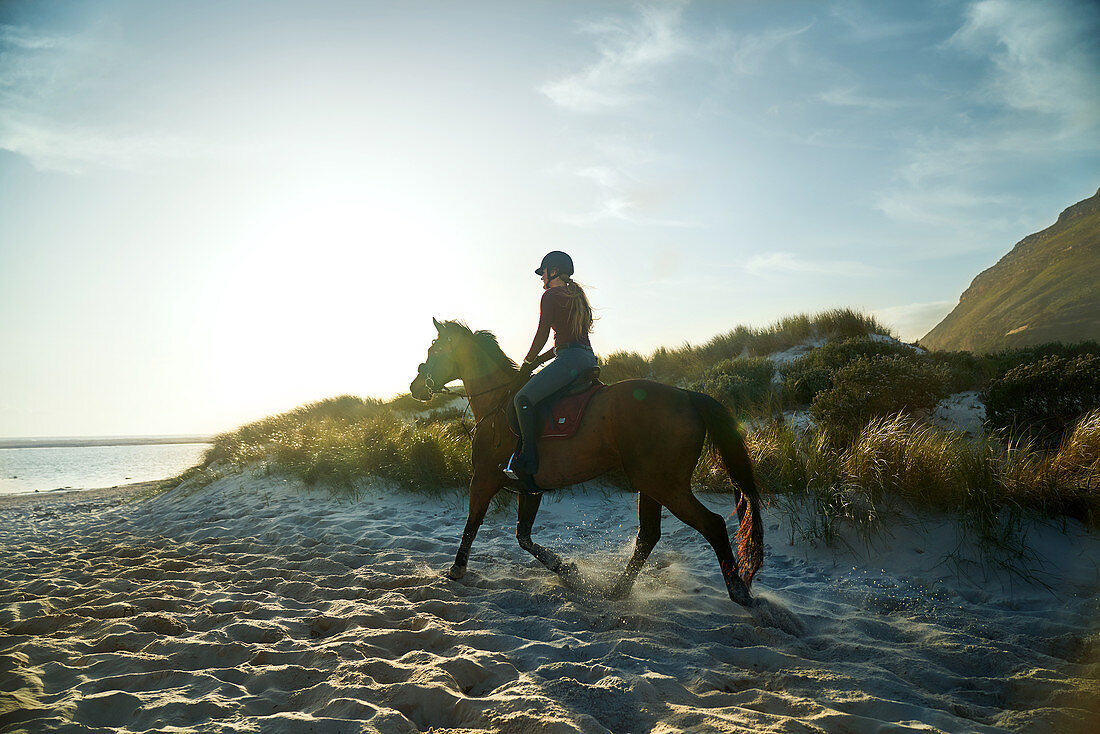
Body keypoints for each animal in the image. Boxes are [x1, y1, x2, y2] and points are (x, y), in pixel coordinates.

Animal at [409, 319, 761, 607]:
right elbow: (524, 537)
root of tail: (687, 395)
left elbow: (473, 524)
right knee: (648, 536)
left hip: (665, 484)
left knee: (711, 524)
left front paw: (456, 569)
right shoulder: (529, 488)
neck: (496, 403)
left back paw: (738, 592)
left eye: (434, 349)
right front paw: (567, 569)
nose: (415, 387)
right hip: (651, 483)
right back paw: (618, 590)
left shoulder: (483, 479)